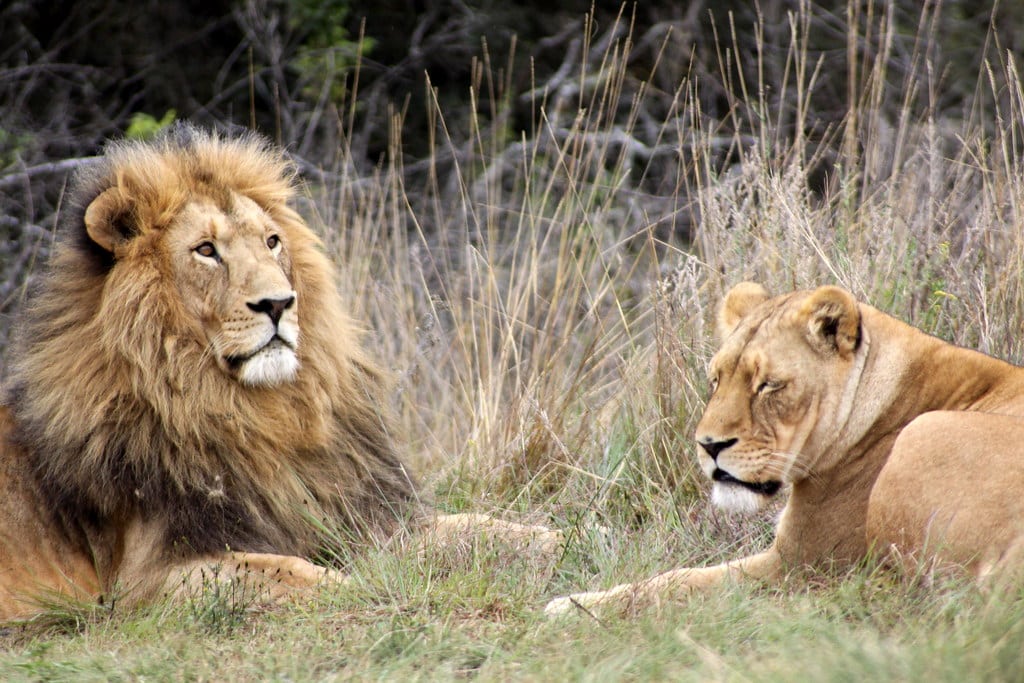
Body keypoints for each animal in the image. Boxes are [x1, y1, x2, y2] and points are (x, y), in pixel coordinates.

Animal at [0, 124, 558, 621]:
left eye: (271, 241)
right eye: (206, 250)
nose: (279, 303)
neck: (262, 415)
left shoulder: (358, 512)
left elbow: (480, 527)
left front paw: (564, 536)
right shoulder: (145, 580)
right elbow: (288, 571)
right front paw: (362, 588)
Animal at [546, 281, 1024, 617]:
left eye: (769, 385)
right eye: (716, 379)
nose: (709, 445)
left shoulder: (799, 562)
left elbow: (676, 581)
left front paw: (571, 606)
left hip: (923, 439)